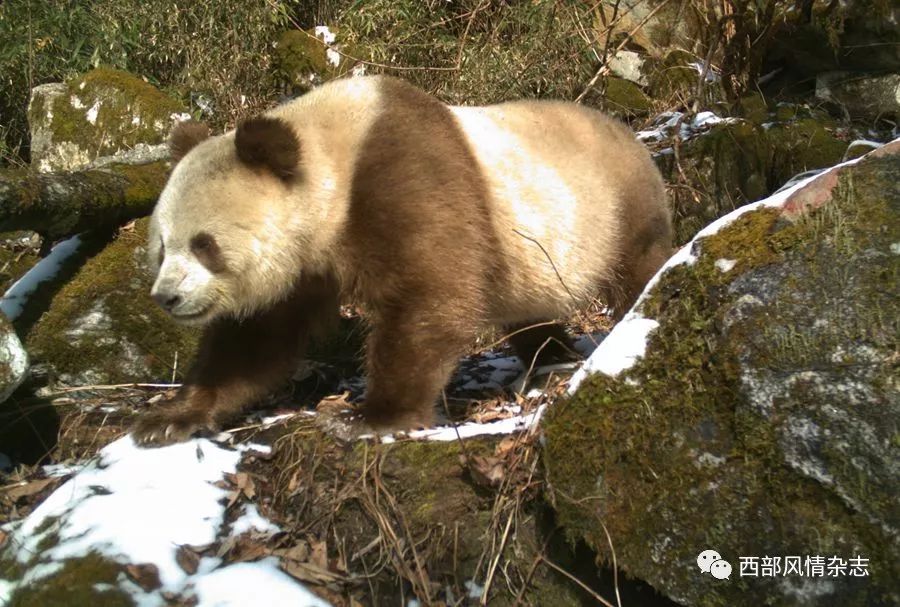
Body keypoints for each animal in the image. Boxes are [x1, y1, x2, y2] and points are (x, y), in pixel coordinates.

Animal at [134, 76, 668, 446]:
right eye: (162, 246)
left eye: (204, 244)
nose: (168, 298)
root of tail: (627, 131)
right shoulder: (302, 264)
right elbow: (255, 340)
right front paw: (169, 419)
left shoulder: (402, 172)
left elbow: (431, 295)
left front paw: (367, 417)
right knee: (529, 312)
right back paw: (549, 359)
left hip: (615, 205)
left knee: (638, 268)